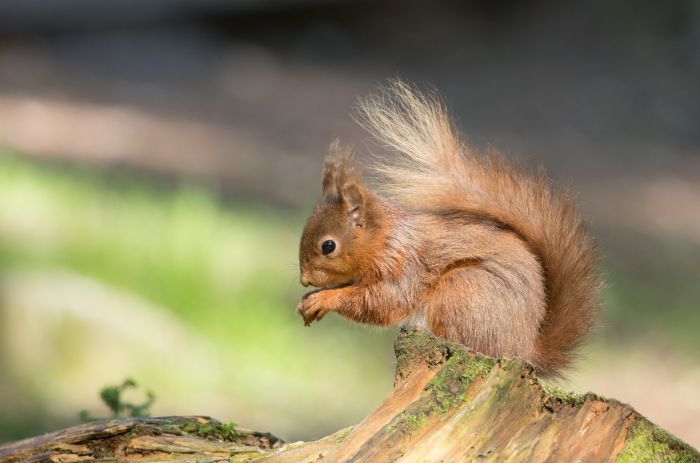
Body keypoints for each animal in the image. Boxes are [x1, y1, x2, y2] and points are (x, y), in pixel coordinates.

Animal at [296, 81, 600, 376]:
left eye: (328, 246)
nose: (304, 279)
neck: (386, 237)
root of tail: (523, 351)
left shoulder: (403, 263)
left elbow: (384, 301)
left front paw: (323, 299)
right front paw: (309, 299)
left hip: (462, 292)